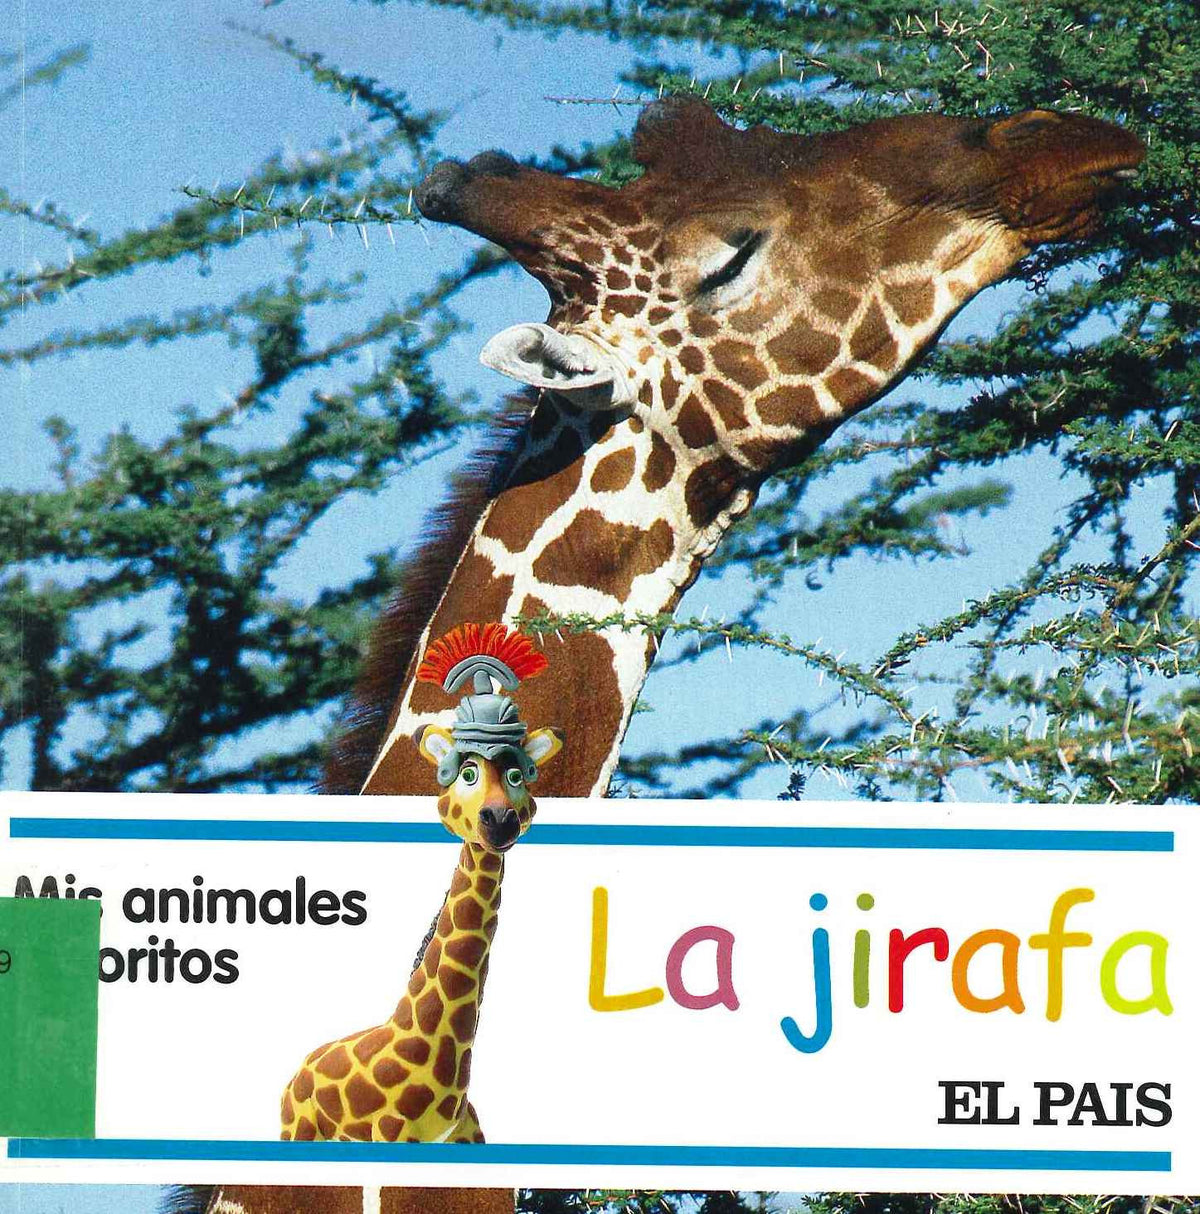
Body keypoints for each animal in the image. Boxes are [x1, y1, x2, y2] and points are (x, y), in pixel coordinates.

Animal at [282, 625, 563, 1145]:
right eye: (466, 774)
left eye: (517, 776)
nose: (499, 820)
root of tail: (297, 1073)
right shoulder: (393, 1136)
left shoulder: (467, 1135)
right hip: (299, 1132)